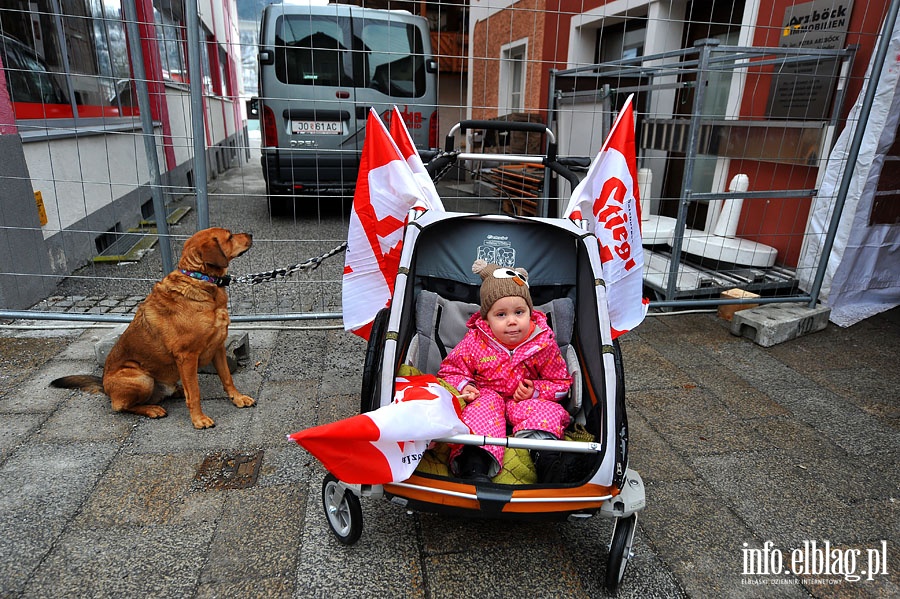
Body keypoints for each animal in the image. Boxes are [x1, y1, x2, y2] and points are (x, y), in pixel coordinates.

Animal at [52, 227, 255, 428]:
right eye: (230, 237)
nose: (251, 234)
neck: (200, 280)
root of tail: (104, 385)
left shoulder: (218, 347)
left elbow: (227, 378)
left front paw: (238, 398)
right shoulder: (187, 356)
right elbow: (194, 392)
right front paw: (199, 419)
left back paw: (175, 391)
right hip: (142, 379)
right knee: (121, 406)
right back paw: (152, 409)